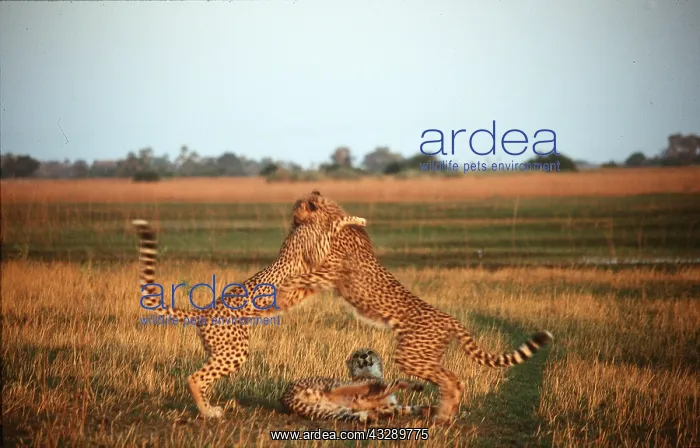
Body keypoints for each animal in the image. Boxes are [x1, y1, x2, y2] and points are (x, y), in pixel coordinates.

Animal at [131, 192, 367, 419]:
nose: (296, 214)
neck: (303, 223)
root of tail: (204, 310)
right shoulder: (317, 253)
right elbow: (333, 227)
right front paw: (356, 219)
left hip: (219, 349)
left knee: (204, 376)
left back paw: (209, 408)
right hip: (235, 350)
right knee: (195, 378)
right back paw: (208, 412)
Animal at [282, 348, 430, 423]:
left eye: (369, 352)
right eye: (356, 355)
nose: (363, 356)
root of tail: (285, 394)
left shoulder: (386, 405)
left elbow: (405, 408)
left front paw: (427, 409)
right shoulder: (372, 389)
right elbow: (393, 383)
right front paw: (415, 384)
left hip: (333, 409)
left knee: (356, 413)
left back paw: (370, 416)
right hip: (336, 386)